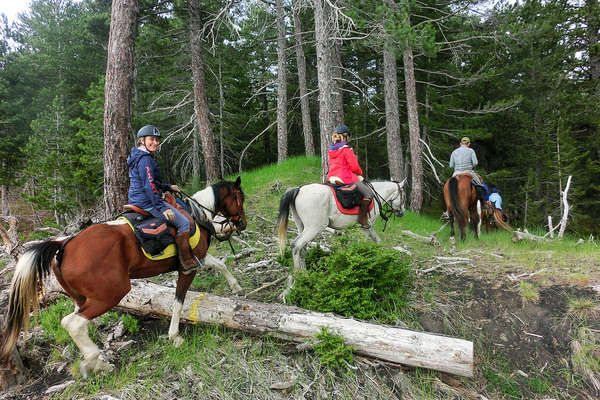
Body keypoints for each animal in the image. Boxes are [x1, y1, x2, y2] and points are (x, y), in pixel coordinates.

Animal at [1, 178, 246, 378]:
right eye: (240, 198)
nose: (242, 223)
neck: (196, 215)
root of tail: (64, 245)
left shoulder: (201, 257)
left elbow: (221, 264)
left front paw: (236, 288)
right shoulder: (189, 267)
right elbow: (178, 301)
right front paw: (174, 336)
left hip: (81, 298)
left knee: (78, 323)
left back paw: (99, 363)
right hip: (111, 293)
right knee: (73, 323)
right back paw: (94, 361)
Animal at [278, 180, 406, 270]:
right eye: (403, 196)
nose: (402, 213)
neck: (375, 195)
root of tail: (299, 189)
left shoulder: (363, 227)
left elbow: (376, 241)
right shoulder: (366, 226)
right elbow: (364, 242)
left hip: (301, 226)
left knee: (302, 248)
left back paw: (305, 274)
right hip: (314, 228)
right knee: (296, 245)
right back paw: (298, 274)